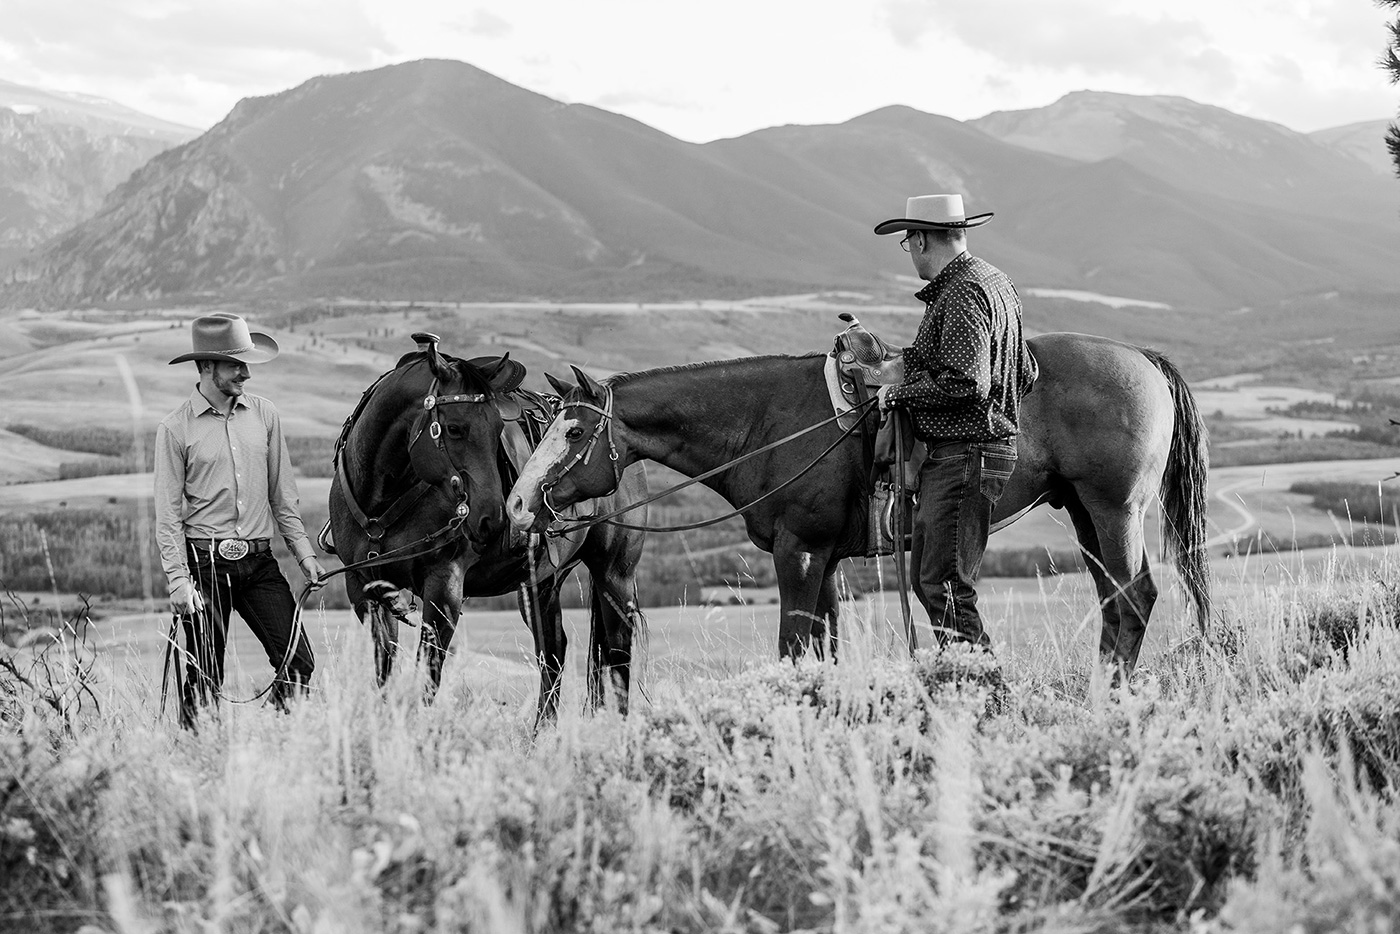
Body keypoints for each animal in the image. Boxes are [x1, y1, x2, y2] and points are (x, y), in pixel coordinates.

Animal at [329, 336, 649, 722]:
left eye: (498, 428)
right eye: (454, 428)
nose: (492, 518)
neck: (382, 498)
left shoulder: (444, 589)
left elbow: (427, 678)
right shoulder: (366, 590)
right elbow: (384, 674)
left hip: (614, 573)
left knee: (617, 651)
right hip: (541, 584)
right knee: (554, 653)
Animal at [506, 331, 1215, 674]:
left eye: (573, 432)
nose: (517, 505)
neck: (769, 421)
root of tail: (1142, 359)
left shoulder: (799, 552)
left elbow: (793, 646)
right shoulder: (822, 558)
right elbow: (823, 647)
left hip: (1116, 509)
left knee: (1136, 596)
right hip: (1084, 515)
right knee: (1114, 603)